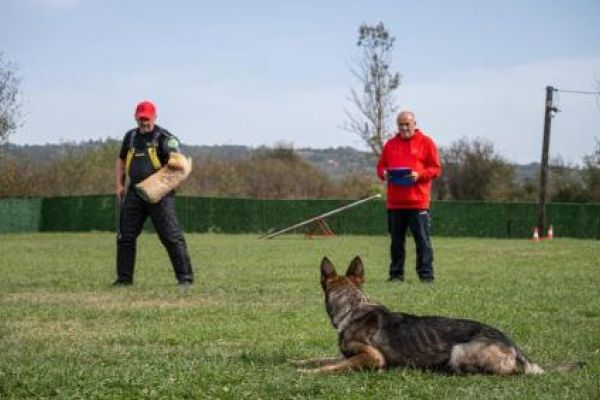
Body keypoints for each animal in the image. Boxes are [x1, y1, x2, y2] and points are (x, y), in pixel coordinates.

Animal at [296, 256, 580, 376]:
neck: (352, 307)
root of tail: (513, 343)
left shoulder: (373, 357)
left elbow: (333, 366)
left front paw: (310, 372)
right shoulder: (350, 355)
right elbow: (321, 358)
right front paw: (300, 361)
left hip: (459, 352)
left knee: (510, 373)